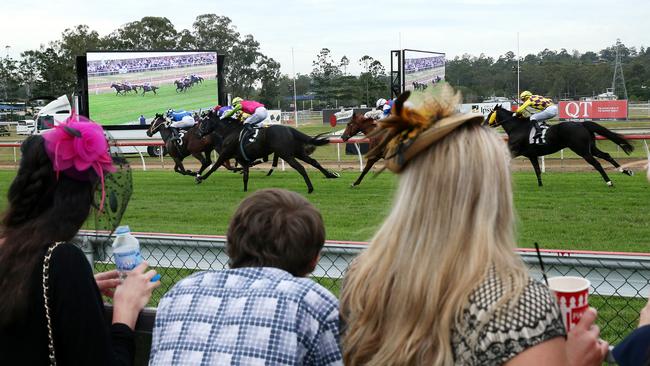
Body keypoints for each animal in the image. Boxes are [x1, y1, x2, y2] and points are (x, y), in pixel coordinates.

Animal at [196, 110, 340, 193]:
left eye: (203, 122)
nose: (198, 134)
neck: (230, 131)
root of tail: (289, 129)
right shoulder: (242, 159)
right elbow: (245, 176)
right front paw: (245, 190)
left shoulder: (226, 153)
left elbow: (215, 166)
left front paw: (200, 177)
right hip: (297, 152)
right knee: (314, 162)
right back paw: (330, 175)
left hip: (286, 154)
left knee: (300, 167)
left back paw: (310, 188)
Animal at [486, 105, 632, 186]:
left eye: (489, 114)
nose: (484, 123)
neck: (516, 127)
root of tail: (582, 124)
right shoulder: (532, 155)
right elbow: (537, 170)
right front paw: (540, 185)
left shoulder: (513, 150)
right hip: (591, 147)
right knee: (606, 155)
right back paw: (626, 171)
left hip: (582, 150)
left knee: (596, 163)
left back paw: (609, 182)